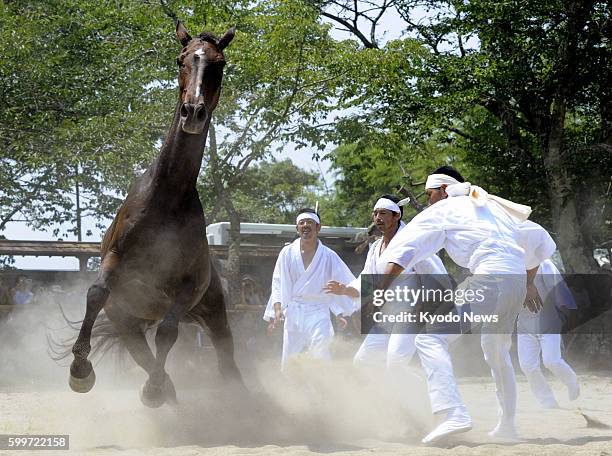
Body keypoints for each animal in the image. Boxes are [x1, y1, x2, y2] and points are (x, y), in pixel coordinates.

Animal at [70, 21, 244, 408]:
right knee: (144, 356)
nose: (193, 111)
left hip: (213, 314)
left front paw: (152, 390)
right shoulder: (115, 261)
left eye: (220, 63)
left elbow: (167, 331)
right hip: (128, 323)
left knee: (225, 363)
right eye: (182, 58)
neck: (167, 200)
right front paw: (80, 371)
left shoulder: (190, 287)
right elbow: (95, 293)